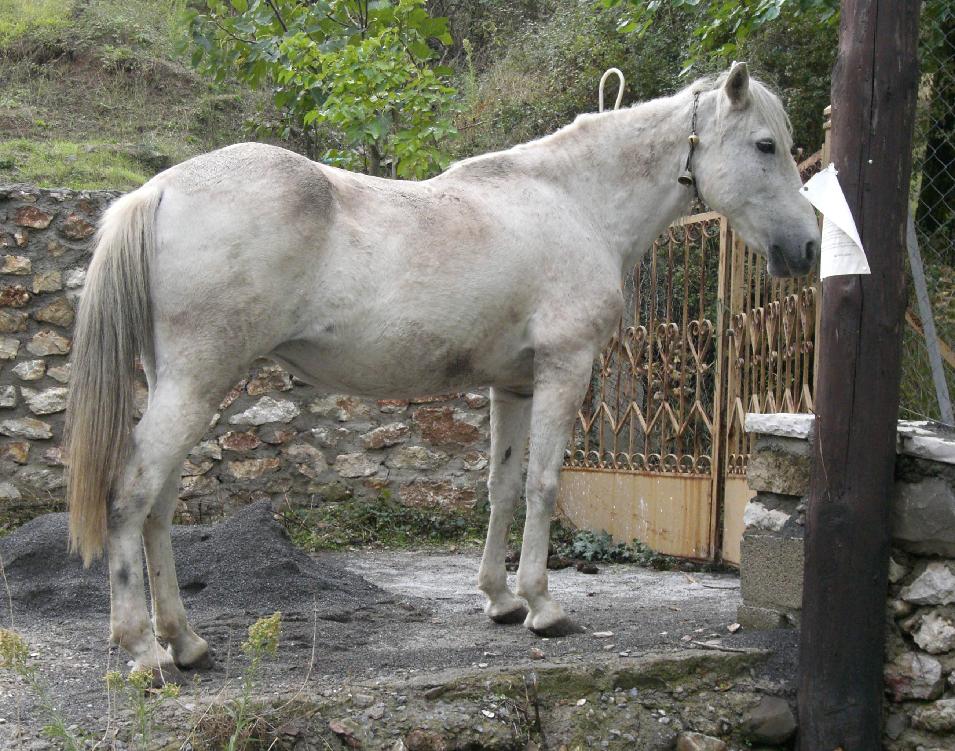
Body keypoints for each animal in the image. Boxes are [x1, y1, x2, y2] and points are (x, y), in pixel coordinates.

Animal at [63, 61, 816, 680]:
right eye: (765, 146)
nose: (807, 247)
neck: (575, 203)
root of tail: (159, 190)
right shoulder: (564, 369)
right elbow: (543, 485)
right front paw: (543, 606)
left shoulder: (514, 384)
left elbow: (503, 487)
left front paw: (500, 599)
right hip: (197, 384)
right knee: (131, 497)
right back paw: (141, 650)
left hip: (182, 386)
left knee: (159, 507)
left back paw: (185, 642)